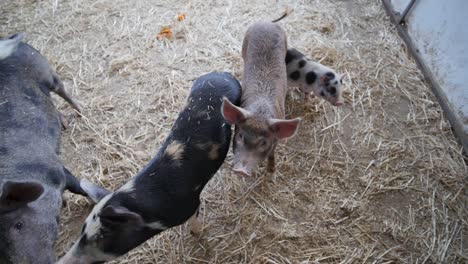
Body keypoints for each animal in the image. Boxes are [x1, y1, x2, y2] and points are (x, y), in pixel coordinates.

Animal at [0, 33, 109, 264]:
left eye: (18, 224)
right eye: (0, 246)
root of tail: (10, 38)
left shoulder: (57, 170)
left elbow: (78, 186)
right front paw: (66, 203)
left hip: (46, 70)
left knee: (61, 89)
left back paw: (81, 111)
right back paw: (64, 122)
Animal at [57, 71, 241, 262]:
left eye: (103, 236)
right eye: (83, 229)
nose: (61, 261)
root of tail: (220, 74)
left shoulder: (191, 203)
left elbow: (195, 218)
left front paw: (196, 233)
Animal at [221, 21, 302, 177]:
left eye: (263, 143)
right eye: (240, 136)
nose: (241, 171)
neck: (260, 113)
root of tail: (267, 23)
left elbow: (272, 154)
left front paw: (271, 171)